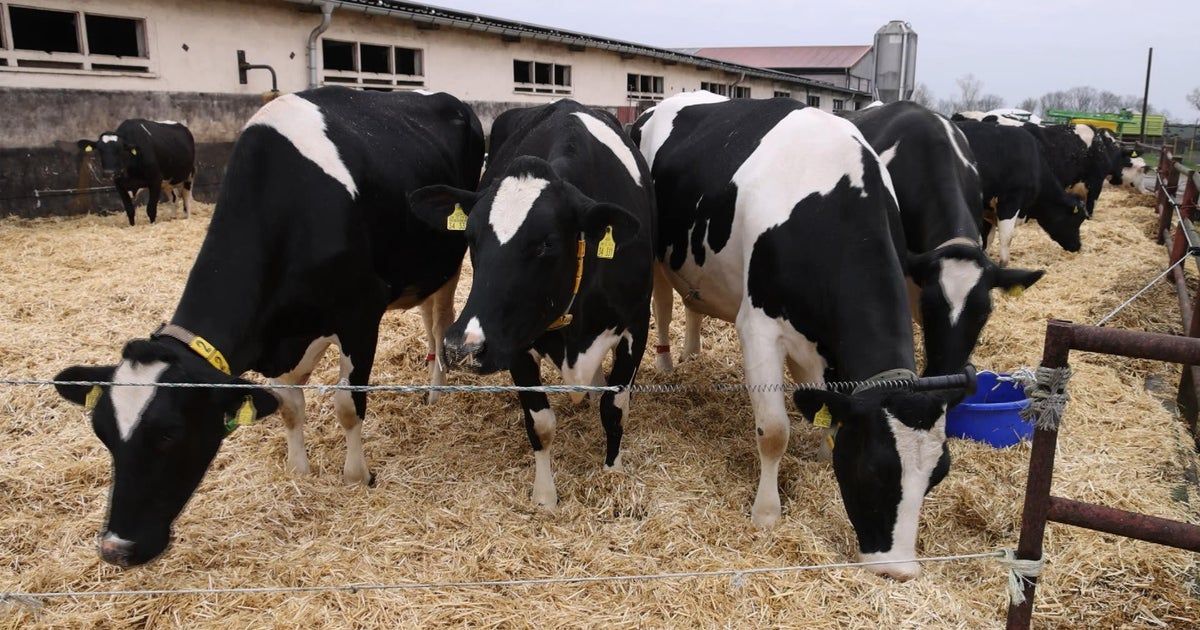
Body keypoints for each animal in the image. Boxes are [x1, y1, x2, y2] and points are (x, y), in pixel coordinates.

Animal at [52, 87, 485, 566]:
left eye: (169, 434)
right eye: (102, 433)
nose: (116, 548)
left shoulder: (360, 314)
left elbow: (347, 404)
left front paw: (356, 476)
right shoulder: (282, 337)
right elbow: (289, 406)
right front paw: (299, 470)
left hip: (448, 260)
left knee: (440, 323)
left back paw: (435, 388)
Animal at [408, 100, 654, 509]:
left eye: (546, 243)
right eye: (471, 237)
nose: (461, 347)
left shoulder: (636, 324)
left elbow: (615, 409)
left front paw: (613, 473)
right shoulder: (513, 341)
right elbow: (540, 423)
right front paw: (544, 495)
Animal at [632, 91, 965, 580]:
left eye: (938, 475)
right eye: (874, 469)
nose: (900, 570)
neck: (829, 204)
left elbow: (826, 406)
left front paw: (824, 453)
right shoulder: (758, 328)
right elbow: (773, 431)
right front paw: (766, 514)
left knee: (692, 303)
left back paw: (692, 354)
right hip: (658, 255)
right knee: (661, 302)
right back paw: (666, 363)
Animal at [955, 120, 1087, 266]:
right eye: (1077, 220)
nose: (1078, 246)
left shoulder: (989, 209)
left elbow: (988, 238)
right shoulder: (1010, 203)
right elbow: (1006, 237)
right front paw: (1002, 264)